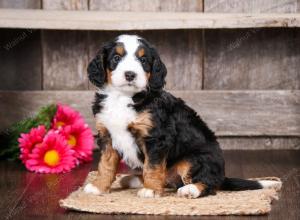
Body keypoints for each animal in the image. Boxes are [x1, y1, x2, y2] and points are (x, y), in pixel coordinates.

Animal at [82, 34, 278, 199]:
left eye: (143, 60)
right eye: (116, 58)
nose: (130, 74)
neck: (123, 97)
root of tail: (221, 175)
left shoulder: (157, 138)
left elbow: (152, 166)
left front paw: (151, 190)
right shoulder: (107, 134)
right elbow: (106, 165)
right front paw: (98, 186)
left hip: (194, 159)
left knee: (209, 185)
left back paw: (190, 189)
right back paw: (133, 179)